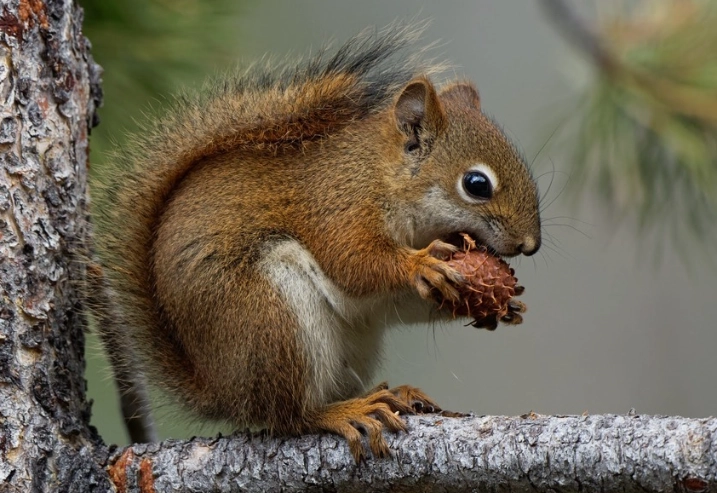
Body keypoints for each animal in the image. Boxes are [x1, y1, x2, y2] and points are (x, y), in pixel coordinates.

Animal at [90, 25, 541, 462]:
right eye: (476, 184)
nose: (530, 245)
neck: (380, 175)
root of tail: (221, 389)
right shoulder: (337, 209)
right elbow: (353, 262)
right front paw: (419, 265)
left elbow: (399, 301)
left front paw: (506, 306)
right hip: (268, 320)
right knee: (288, 416)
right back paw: (341, 412)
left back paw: (391, 395)